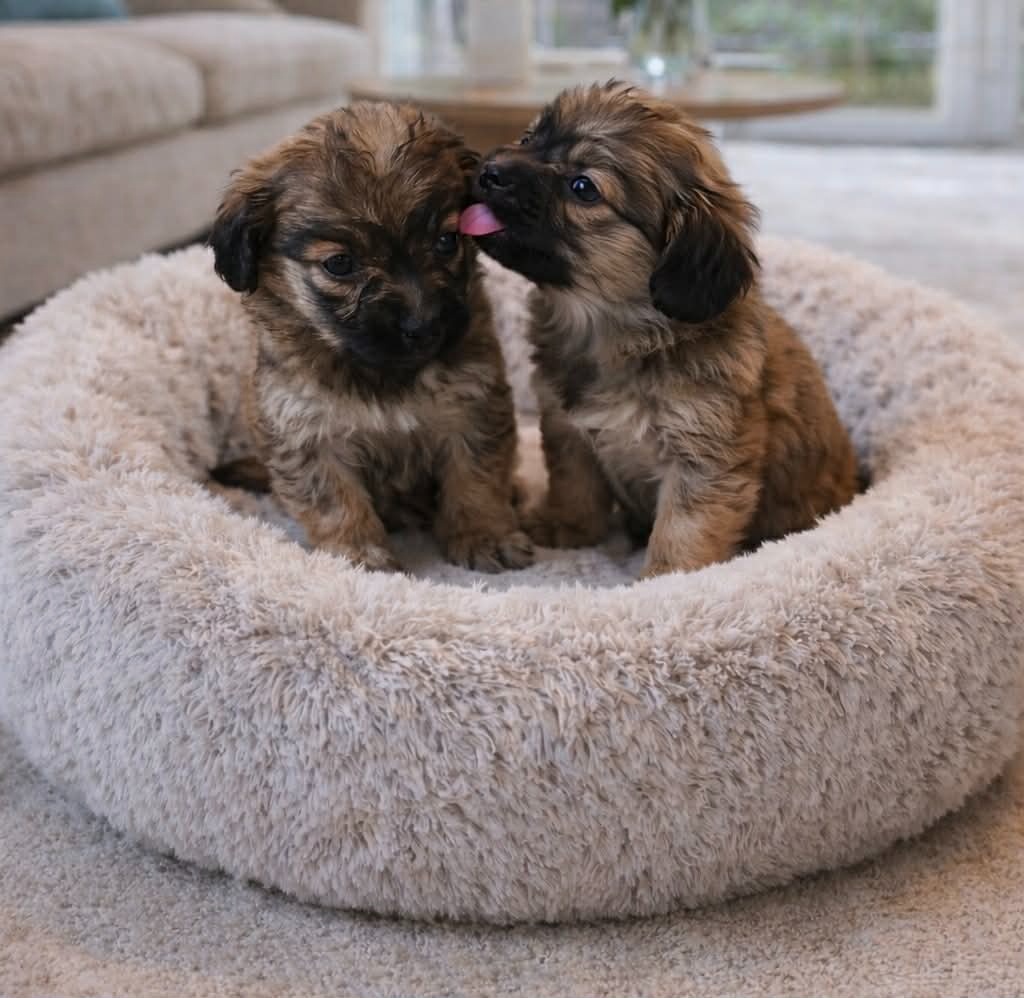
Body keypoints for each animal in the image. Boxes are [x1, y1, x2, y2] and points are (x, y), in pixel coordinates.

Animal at [210, 102, 533, 573]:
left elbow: (476, 478)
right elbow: (333, 500)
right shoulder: (305, 431)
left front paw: (485, 534)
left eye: (447, 240)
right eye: (340, 264)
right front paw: (358, 553)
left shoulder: (472, 405)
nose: (425, 324)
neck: (380, 373)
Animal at [460, 81, 858, 577]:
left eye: (583, 187)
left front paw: (665, 581)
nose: (489, 171)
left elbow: (682, 533)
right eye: (530, 137)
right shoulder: (569, 429)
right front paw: (566, 527)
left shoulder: (703, 461)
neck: (617, 334)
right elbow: (575, 486)